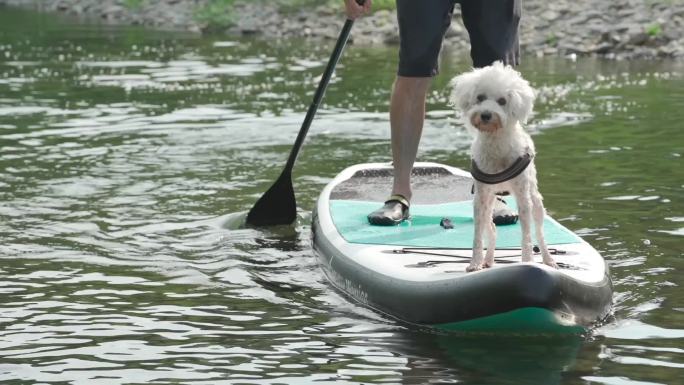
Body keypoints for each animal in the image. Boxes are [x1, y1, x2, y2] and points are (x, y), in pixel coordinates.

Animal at [452, 62, 560, 270]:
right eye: (480, 97)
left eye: (502, 101)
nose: (486, 115)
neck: (496, 141)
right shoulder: (480, 198)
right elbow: (478, 236)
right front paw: (474, 263)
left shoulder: (523, 197)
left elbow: (527, 235)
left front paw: (527, 261)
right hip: (488, 205)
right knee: (492, 230)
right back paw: (488, 260)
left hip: (536, 203)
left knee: (540, 233)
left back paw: (549, 259)